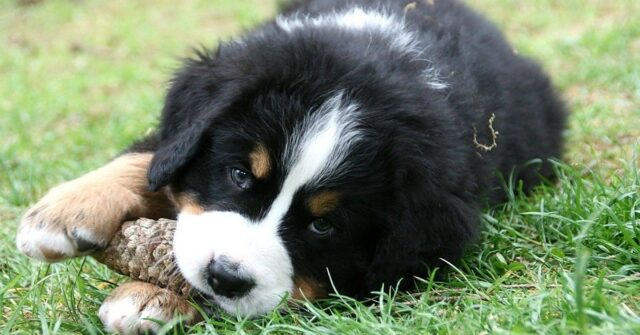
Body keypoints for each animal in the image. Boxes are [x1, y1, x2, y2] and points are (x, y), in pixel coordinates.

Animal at [15, 0, 564, 332]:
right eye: (239, 174)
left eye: (324, 226)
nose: (226, 277)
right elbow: (149, 157)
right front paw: (60, 215)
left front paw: (151, 299)